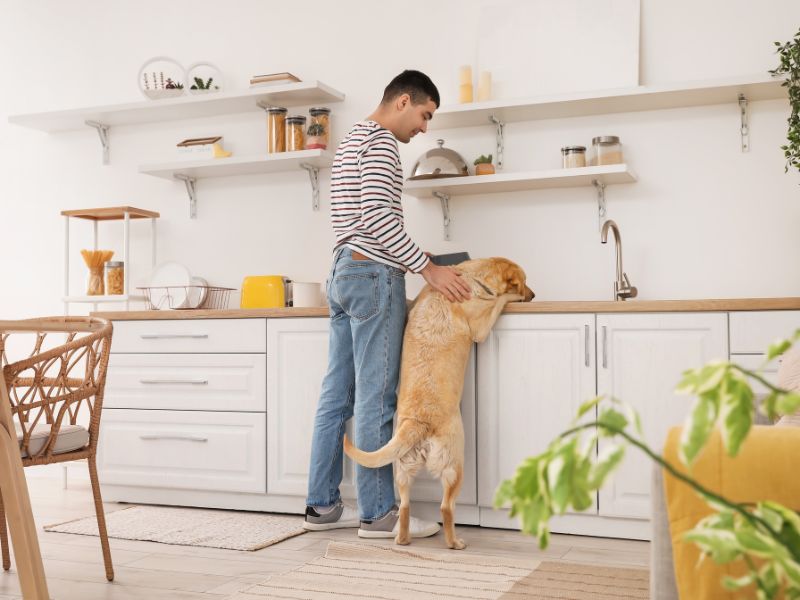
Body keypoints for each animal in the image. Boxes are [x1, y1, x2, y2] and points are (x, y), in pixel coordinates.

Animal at [342, 258, 536, 548]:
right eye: (524, 282)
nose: (534, 296)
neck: (472, 277)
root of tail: (418, 423)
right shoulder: (481, 329)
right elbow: (499, 302)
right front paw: (512, 297)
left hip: (403, 469)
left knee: (405, 506)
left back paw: (403, 539)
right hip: (455, 465)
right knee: (446, 507)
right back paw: (454, 543)